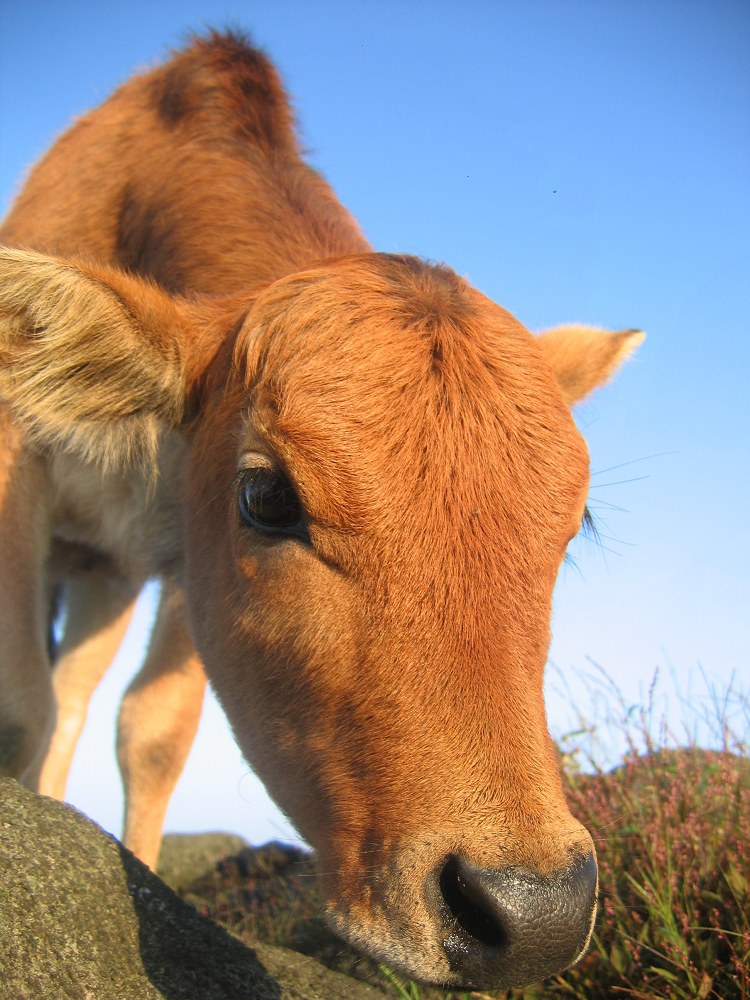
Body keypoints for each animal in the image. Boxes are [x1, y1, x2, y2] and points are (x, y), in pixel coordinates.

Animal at [0, 35, 644, 988]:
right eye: (268, 497)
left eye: (575, 527)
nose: (535, 912)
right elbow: (20, 709)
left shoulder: (178, 558)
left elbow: (153, 731)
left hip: (104, 579)